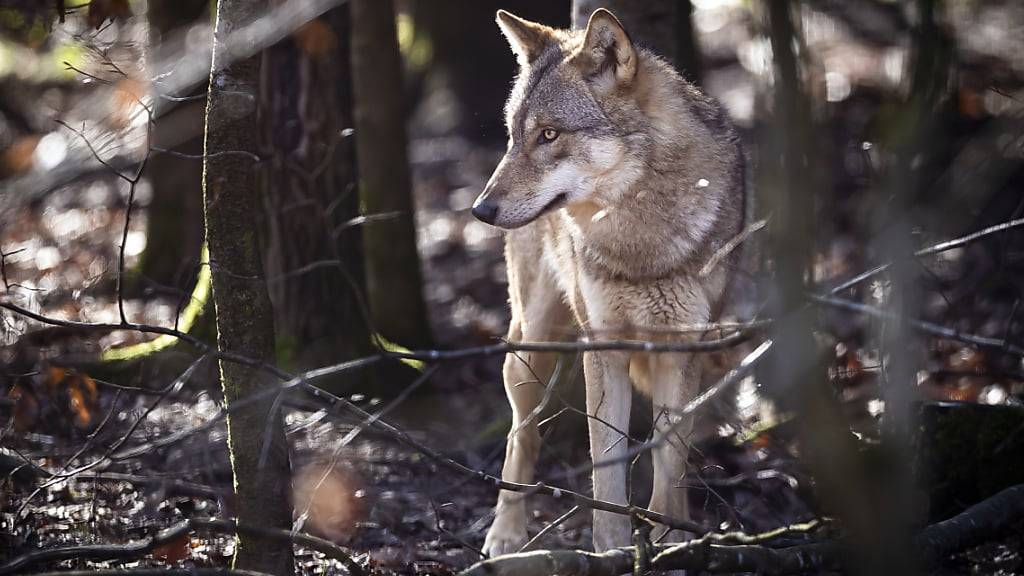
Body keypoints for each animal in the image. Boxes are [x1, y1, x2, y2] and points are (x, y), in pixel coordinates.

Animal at [471, 8, 746, 556]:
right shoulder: (603, 348)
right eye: (513, 135)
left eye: (549, 135)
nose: (480, 210)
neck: (639, 240)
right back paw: (505, 533)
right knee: (521, 434)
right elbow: (606, 463)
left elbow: (670, 457)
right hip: (530, 346)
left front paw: (669, 535)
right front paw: (614, 547)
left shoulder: (680, 348)